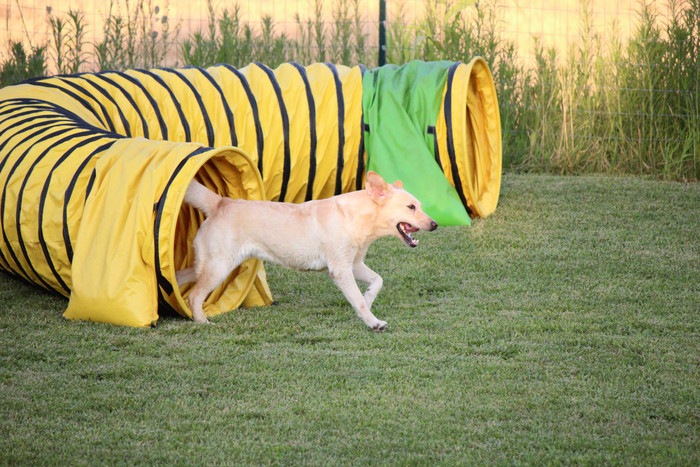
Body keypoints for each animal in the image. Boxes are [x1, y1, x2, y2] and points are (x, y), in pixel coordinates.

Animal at [176, 171, 438, 330]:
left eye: (420, 206)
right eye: (411, 207)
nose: (435, 224)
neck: (354, 218)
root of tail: (221, 202)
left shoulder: (354, 264)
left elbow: (377, 281)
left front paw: (368, 298)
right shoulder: (340, 269)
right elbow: (358, 299)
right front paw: (373, 322)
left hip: (206, 265)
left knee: (182, 279)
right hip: (218, 267)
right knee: (194, 295)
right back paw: (203, 322)